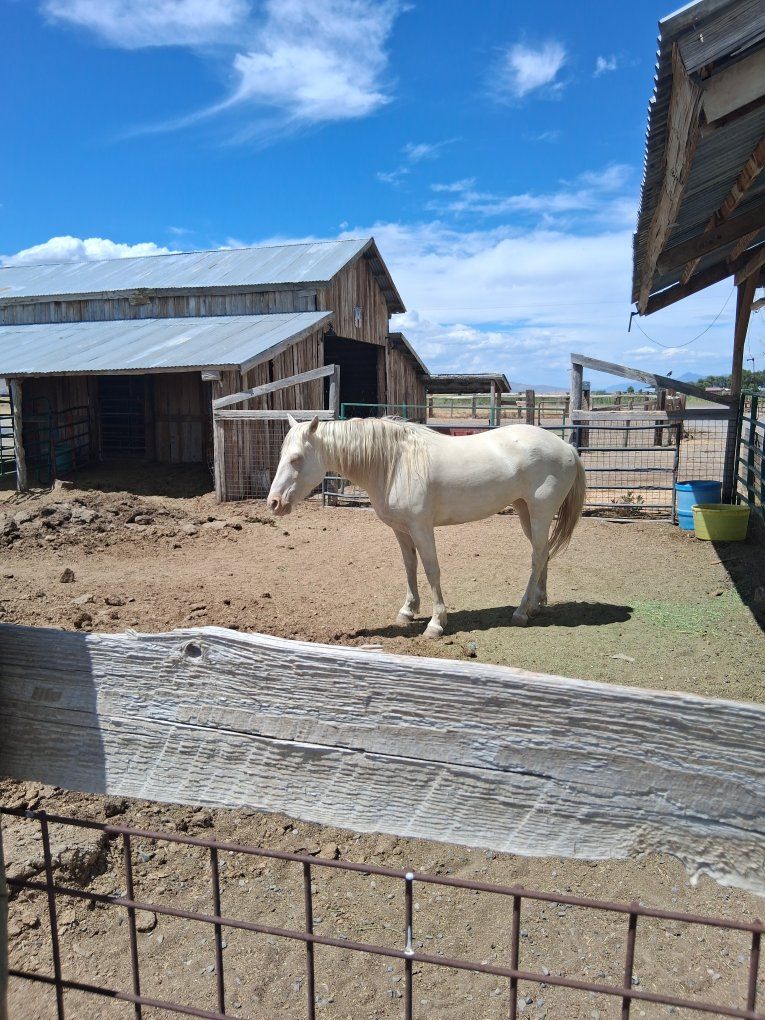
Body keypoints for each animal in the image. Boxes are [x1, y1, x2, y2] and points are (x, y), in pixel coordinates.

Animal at [267, 416, 586, 638]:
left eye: (296, 459)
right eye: (281, 455)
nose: (274, 502)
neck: (395, 464)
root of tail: (567, 447)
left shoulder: (421, 528)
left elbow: (432, 569)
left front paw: (436, 623)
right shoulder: (401, 529)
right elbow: (410, 566)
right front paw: (408, 611)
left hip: (540, 512)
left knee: (536, 556)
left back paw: (521, 612)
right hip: (525, 512)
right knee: (543, 553)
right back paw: (537, 604)